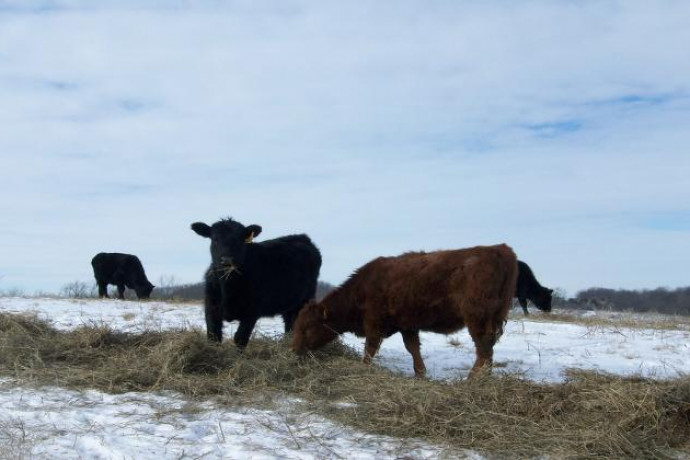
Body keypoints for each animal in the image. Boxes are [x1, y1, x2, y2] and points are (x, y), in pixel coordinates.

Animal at [191, 218, 322, 347]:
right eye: (215, 239)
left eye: (240, 240)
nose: (227, 260)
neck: (228, 286)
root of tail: (302, 237)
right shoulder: (211, 308)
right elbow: (213, 337)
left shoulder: (251, 312)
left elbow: (240, 339)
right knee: (289, 325)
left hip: (306, 299)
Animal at [291, 244, 518, 379]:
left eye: (307, 327)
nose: (293, 350)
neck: (361, 288)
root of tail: (498, 249)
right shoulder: (407, 325)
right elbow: (413, 348)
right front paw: (420, 373)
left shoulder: (374, 324)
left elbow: (370, 348)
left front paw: (363, 369)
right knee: (488, 347)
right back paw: (485, 377)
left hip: (476, 318)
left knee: (483, 346)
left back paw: (473, 378)